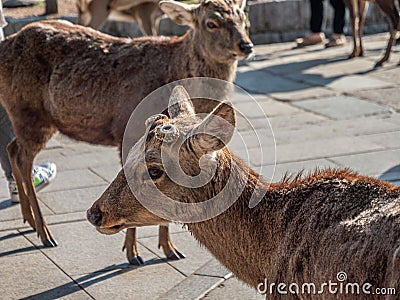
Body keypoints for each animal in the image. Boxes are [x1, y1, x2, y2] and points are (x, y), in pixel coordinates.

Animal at [0, 0, 252, 264]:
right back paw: (45, 233)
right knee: (22, 157)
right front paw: (133, 253)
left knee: (11, 148)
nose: (246, 45)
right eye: (211, 23)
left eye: (244, 18)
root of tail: (5, 44)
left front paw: (169, 249)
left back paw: (29, 220)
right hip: (29, 113)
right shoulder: (128, 131)